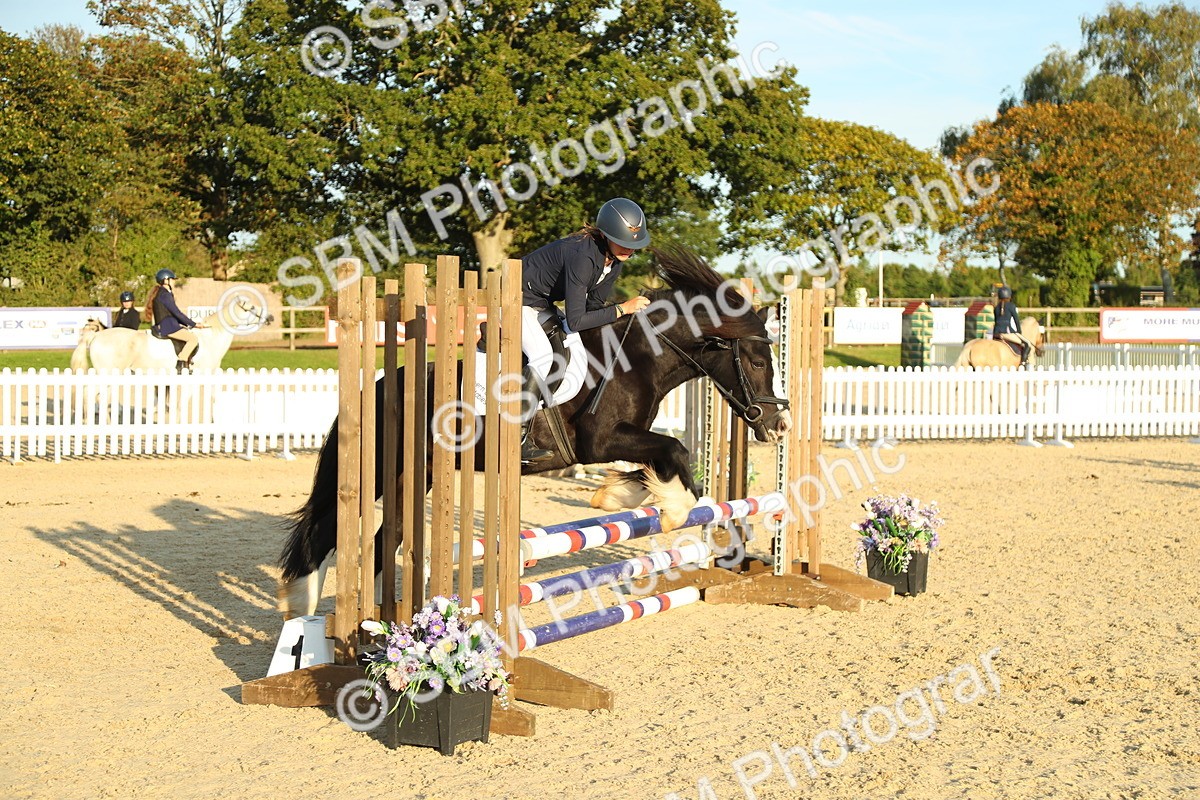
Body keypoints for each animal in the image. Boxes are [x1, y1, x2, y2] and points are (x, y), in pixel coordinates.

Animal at [277, 247, 794, 616]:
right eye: (758, 361)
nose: (780, 424)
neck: (639, 354)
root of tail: (377, 385)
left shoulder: (625, 439)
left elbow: (658, 461)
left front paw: (617, 496)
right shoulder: (599, 441)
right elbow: (678, 451)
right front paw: (675, 510)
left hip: (417, 475)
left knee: (383, 539)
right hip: (386, 472)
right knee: (333, 529)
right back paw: (308, 609)